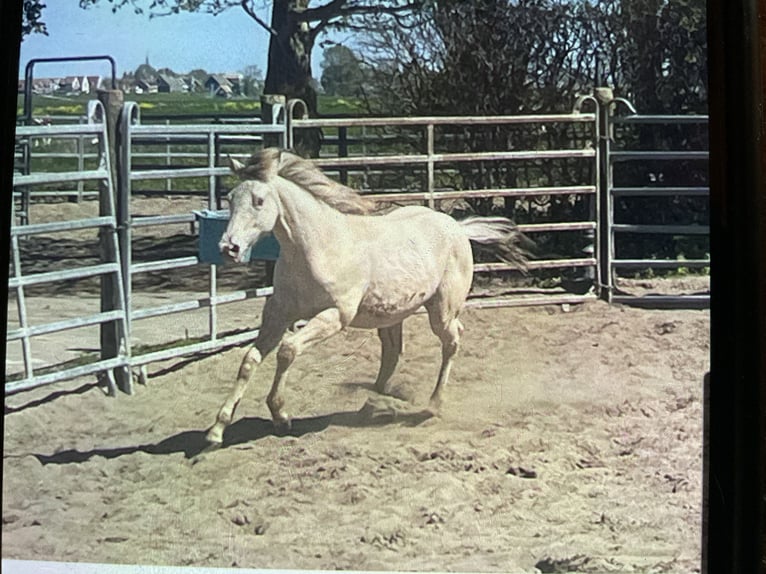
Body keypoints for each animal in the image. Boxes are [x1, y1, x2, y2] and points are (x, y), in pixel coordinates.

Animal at [205, 148, 528, 446]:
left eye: (259, 200)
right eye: (231, 198)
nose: (228, 248)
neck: (318, 247)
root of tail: (457, 227)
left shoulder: (336, 316)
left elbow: (287, 351)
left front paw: (280, 415)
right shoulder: (278, 312)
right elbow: (250, 359)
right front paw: (216, 430)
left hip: (442, 310)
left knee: (452, 341)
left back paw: (433, 405)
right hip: (394, 313)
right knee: (393, 352)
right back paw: (373, 403)